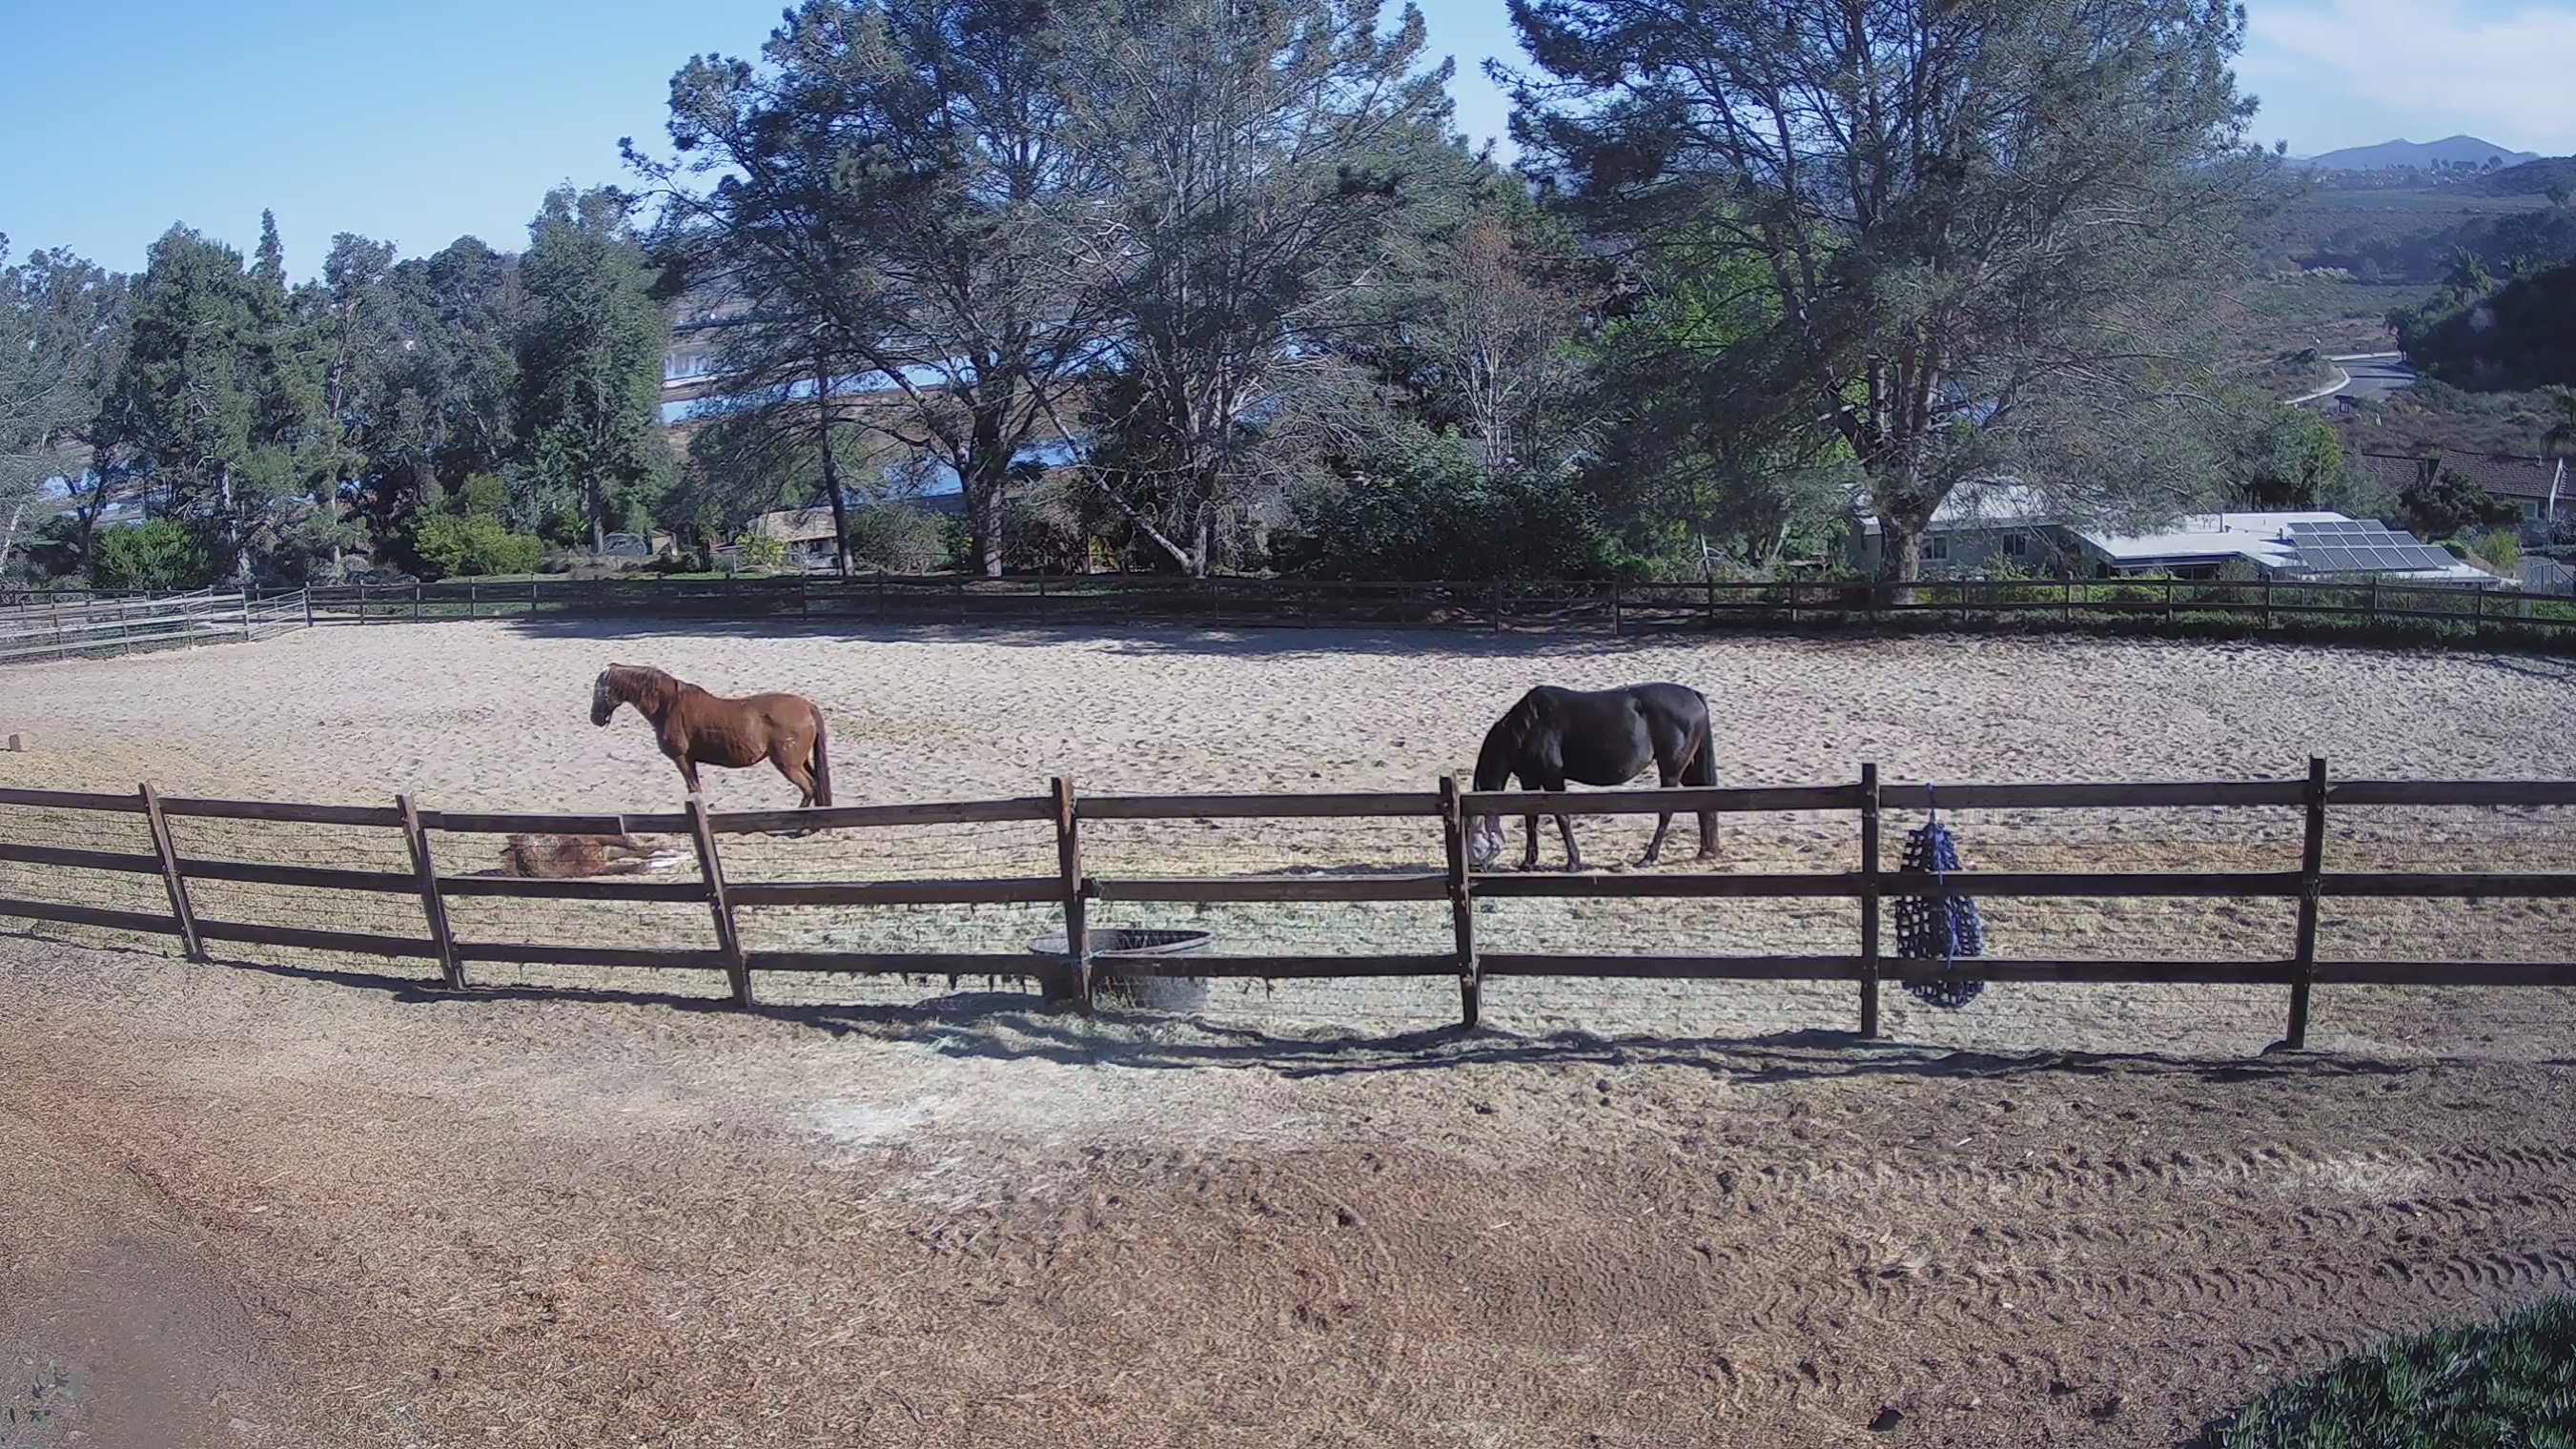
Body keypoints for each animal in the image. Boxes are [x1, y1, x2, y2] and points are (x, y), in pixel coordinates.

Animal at [591, 664, 834, 807]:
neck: (668, 705)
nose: (594, 718)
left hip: (788, 764)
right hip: (801, 762)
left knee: (809, 787)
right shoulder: (690, 759)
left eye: (600, 692)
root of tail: (806, 706)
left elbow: (694, 789)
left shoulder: (682, 758)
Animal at [1467, 683, 1719, 871]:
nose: (1474, 867)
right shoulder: (1529, 780)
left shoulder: (1552, 778)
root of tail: (1694, 695)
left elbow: (1562, 818)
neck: (1528, 726)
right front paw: (1528, 862)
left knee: (1666, 811)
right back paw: (1704, 851)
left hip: (1671, 769)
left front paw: (1573, 862)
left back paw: (1648, 857)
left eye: (1475, 837)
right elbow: (1531, 819)